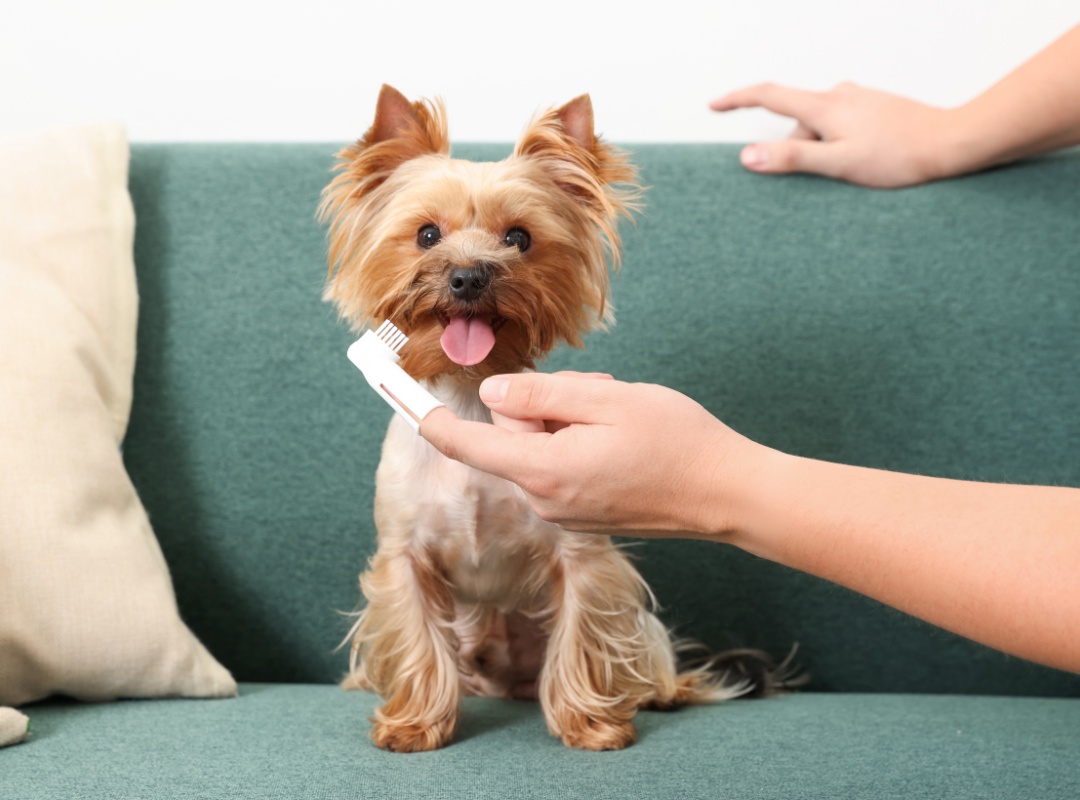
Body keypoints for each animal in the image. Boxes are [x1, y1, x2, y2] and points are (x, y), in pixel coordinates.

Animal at [319, 85, 756, 747]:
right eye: (426, 234)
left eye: (519, 239)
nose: (468, 276)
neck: (468, 396)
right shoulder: (404, 557)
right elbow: (417, 638)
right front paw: (415, 724)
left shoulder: (582, 554)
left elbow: (582, 631)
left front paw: (589, 723)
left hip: (637, 632)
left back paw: (658, 692)